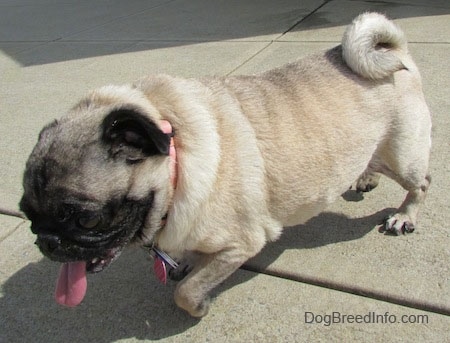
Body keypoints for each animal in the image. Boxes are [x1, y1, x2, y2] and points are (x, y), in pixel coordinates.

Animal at [20, 13, 432, 320]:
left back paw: (404, 215)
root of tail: (398, 52)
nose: (47, 241)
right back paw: (364, 176)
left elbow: (187, 292)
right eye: (28, 215)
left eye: (86, 219)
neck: (179, 161)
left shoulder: (241, 244)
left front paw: (199, 303)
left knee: (422, 182)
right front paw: (186, 260)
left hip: (402, 156)